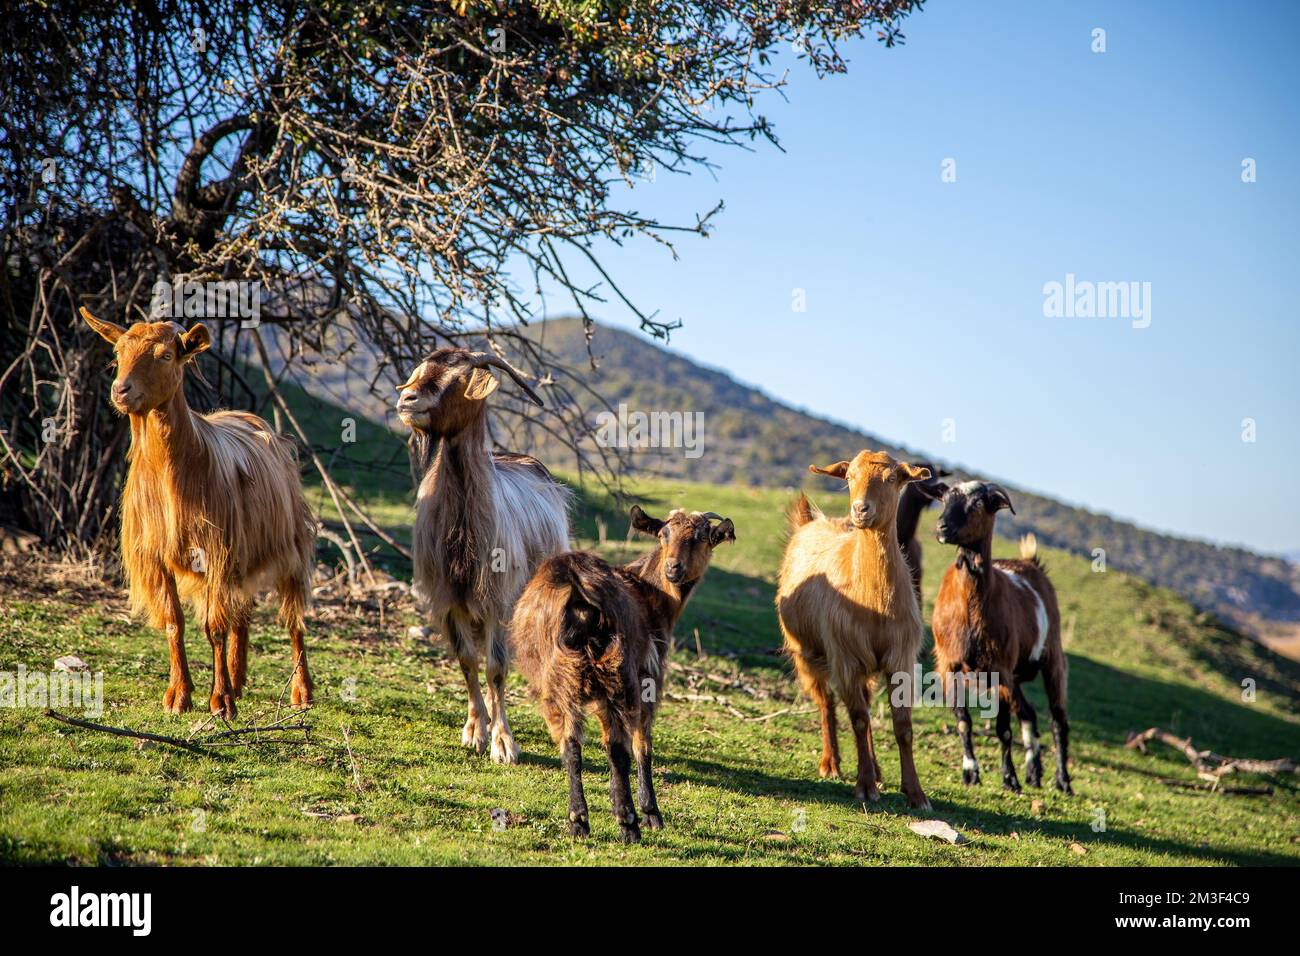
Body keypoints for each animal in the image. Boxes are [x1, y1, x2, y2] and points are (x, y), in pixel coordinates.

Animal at [79, 306, 315, 717]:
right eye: (118, 354)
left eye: (165, 355)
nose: (121, 390)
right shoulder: (156, 555)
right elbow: (175, 622)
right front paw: (180, 695)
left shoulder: (215, 551)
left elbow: (214, 627)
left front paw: (220, 701)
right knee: (243, 612)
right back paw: (238, 679)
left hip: (290, 543)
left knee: (292, 617)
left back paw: (301, 691)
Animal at [390, 348, 569, 764]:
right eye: (423, 370)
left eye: (459, 379)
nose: (407, 400)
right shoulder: (450, 600)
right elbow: (468, 663)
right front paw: (475, 730)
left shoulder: (497, 601)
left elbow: (496, 669)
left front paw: (504, 743)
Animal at [509, 504, 738, 842]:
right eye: (663, 534)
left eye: (701, 537)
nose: (673, 568)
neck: (650, 594)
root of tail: (575, 586)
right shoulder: (649, 677)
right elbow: (643, 745)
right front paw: (651, 813)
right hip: (617, 674)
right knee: (618, 748)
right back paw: (628, 822)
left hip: (556, 679)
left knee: (571, 744)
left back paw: (578, 821)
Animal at [935, 481, 1076, 796]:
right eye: (945, 498)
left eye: (977, 503)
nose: (941, 527)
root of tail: (1031, 563)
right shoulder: (949, 666)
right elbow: (963, 722)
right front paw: (971, 773)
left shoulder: (999, 669)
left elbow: (1003, 729)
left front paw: (1009, 778)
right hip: (1017, 675)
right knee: (1029, 713)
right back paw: (1034, 772)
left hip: (1052, 658)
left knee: (1058, 720)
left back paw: (1062, 781)